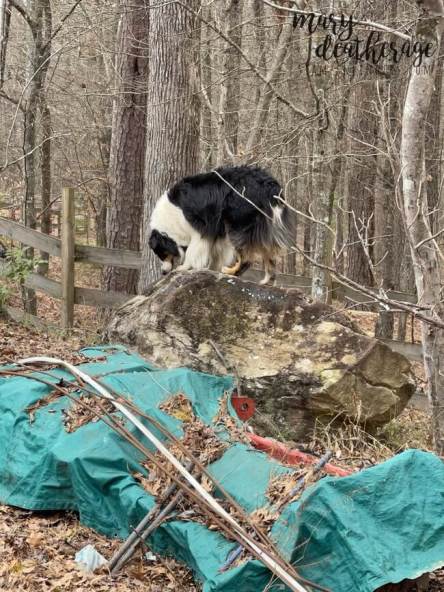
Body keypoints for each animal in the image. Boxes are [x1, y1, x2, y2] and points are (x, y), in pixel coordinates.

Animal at [148, 165, 295, 284]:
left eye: (161, 253)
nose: (163, 272)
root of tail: (270, 185)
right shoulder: (216, 231)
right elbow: (216, 252)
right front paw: (211, 269)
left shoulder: (200, 228)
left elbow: (193, 250)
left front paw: (183, 267)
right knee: (268, 252)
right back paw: (266, 281)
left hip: (238, 223)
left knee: (247, 257)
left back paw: (230, 272)